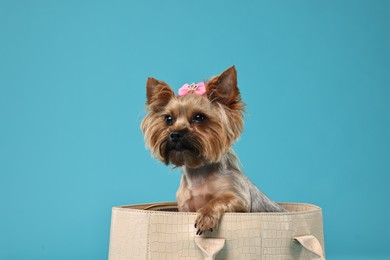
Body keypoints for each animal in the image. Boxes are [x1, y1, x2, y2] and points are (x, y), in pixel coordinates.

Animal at [141, 66, 286, 235]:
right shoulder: (185, 207)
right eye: (168, 119)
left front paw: (205, 218)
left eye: (199, 117)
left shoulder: (239, 198)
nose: (175, 134)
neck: (198, 172)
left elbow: (218, 199)